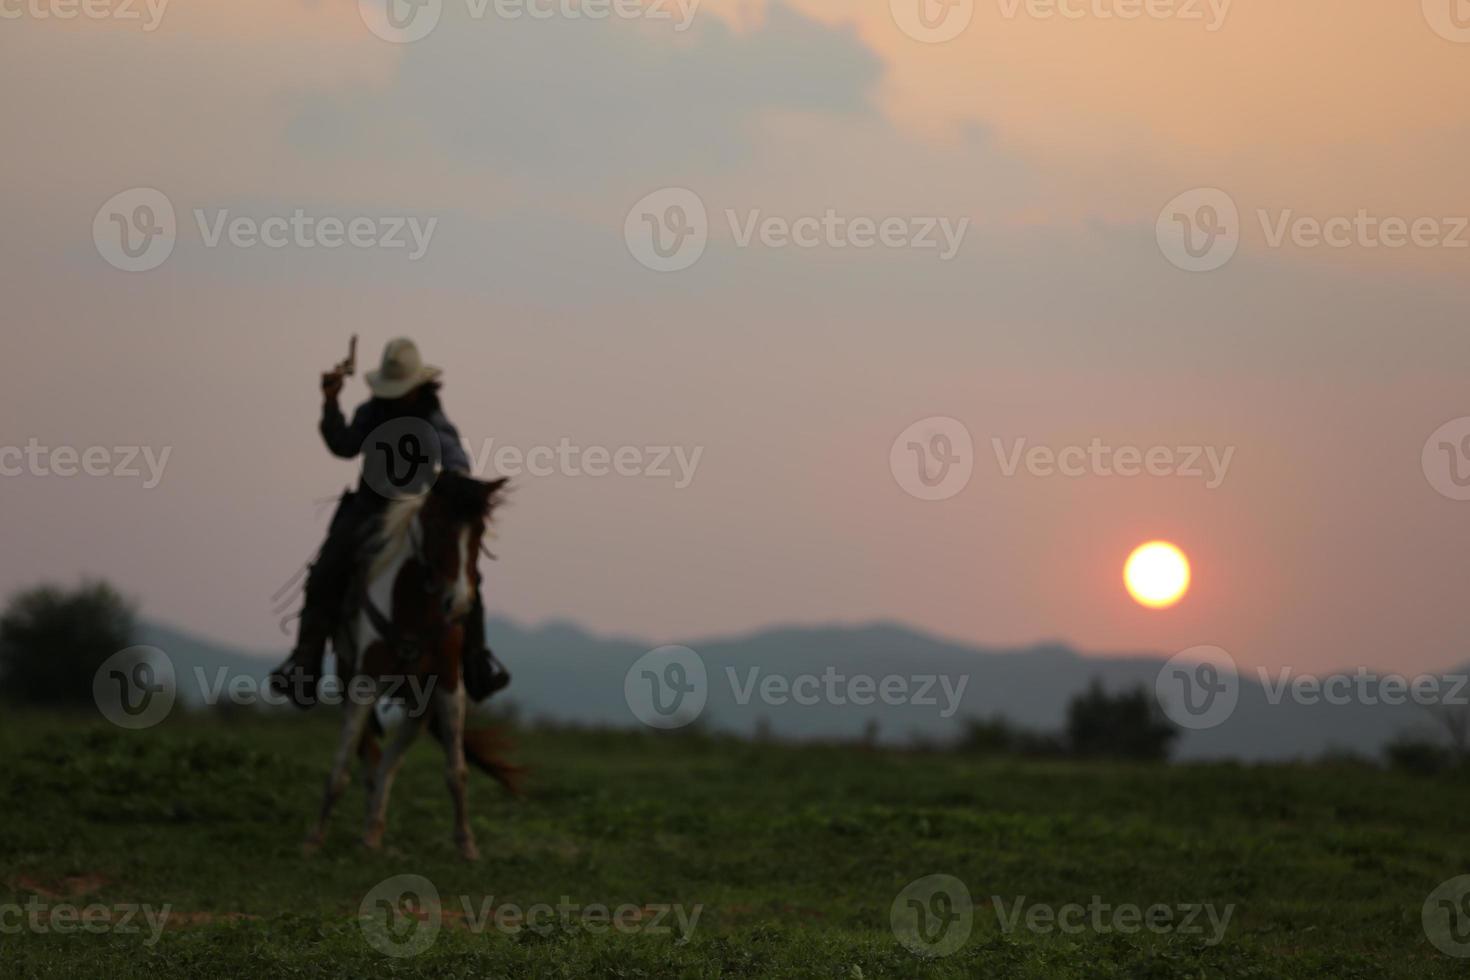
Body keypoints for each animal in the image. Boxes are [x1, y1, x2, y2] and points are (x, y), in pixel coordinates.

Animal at [301, 470, 520, 863]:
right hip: (348, 679)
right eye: (436, 525)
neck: (415, 609)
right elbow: (341, 766)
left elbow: (456, 771)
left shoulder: (448, 685)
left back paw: (373, 830)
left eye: (480, 530)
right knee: (370, 757)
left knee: (388, 761)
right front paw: (314, 838)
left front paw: (467, 844)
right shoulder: (364, 683)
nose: (458, 603)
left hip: (419, 706)